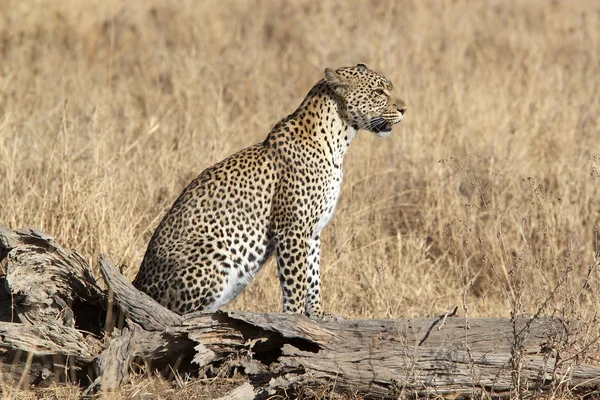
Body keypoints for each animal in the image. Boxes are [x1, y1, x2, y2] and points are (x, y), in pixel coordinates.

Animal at [134, 63, 408, 318]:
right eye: (379, 92)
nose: (405, 109)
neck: (339, 140)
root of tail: (138, 283)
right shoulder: (292, 229)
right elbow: (295, 281)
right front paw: (294, 319)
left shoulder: (313, 230)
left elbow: (313, 276)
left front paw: (318, 314)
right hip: (213, 253)